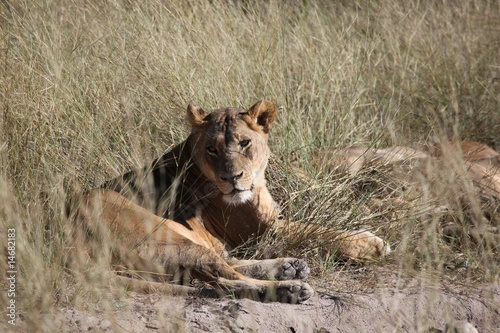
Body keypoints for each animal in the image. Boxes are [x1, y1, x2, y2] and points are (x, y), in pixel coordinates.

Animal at [76, 101, 388, 304]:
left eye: (244, 143)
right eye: (212, 148)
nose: (232, 177)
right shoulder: (262, 229)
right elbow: (317, 230)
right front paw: (371, 243)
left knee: (223, 268)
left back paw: (289, 266)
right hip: (167, 239)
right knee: (222, 278)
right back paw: (288, 288)